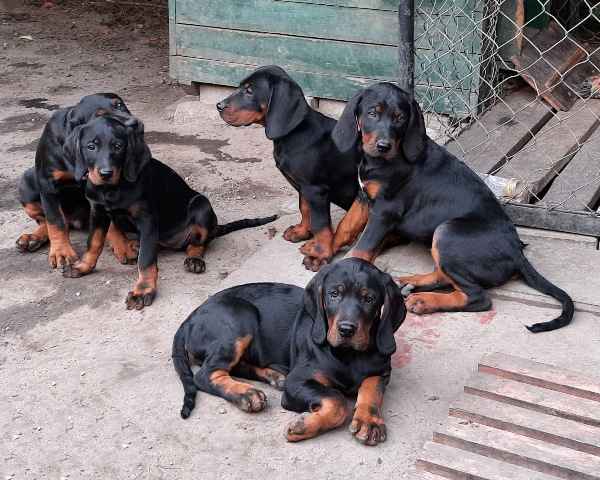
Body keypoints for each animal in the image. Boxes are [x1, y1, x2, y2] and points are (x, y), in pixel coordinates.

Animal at [15, 92, 138, 268]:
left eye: (120, 105)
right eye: (100, 117)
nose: (134, 124)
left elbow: (111, 222)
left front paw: (123, 246)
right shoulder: (48, 184)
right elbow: (55, 221)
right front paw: (61, 252)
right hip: (26, 183)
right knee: (49, 220)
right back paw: (32, 238)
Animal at [61, 115, 276, 312]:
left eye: (118, 146)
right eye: (91, 146)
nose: (105, 173)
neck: (112, 189)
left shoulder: (147, 219)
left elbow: (146, 260)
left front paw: (143, 291)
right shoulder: (97, 212)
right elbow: (94, 243)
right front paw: (83, 266)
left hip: (201, 206)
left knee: (197, 242)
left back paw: (194, 260)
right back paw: (136, 244)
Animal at [173, 260, 408, 444]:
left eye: (369, 299)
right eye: (333, 294)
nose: (346, 330)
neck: (348, 355)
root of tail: (192, 316)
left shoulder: (381, 372)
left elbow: (372, 390)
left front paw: (369, 421)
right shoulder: (298, 382)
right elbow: (337, 400)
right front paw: (303, 426)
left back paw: (273, 376)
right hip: (240, 317)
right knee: (206, 374)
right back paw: (247, 394)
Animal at [218, 65, 364, 272]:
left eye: (249, 91)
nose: (219, 106)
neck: (294, 134)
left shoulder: (316, 189)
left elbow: (321, 224)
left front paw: (320, 254)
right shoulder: (303, 186)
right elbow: (304, 208)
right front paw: (302, 232)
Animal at [330, 81, 576, 334]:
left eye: (400, 118)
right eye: (372, 113)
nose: (383, 146)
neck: (379, 161)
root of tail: (517, 253)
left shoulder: (385, 209)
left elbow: (361, 248)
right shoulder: (363, 197)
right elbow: (345, 227)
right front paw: (325, 252)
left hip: (447, 232)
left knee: (478, 297)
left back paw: (424, 300)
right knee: (445, 277)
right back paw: (409, 283)